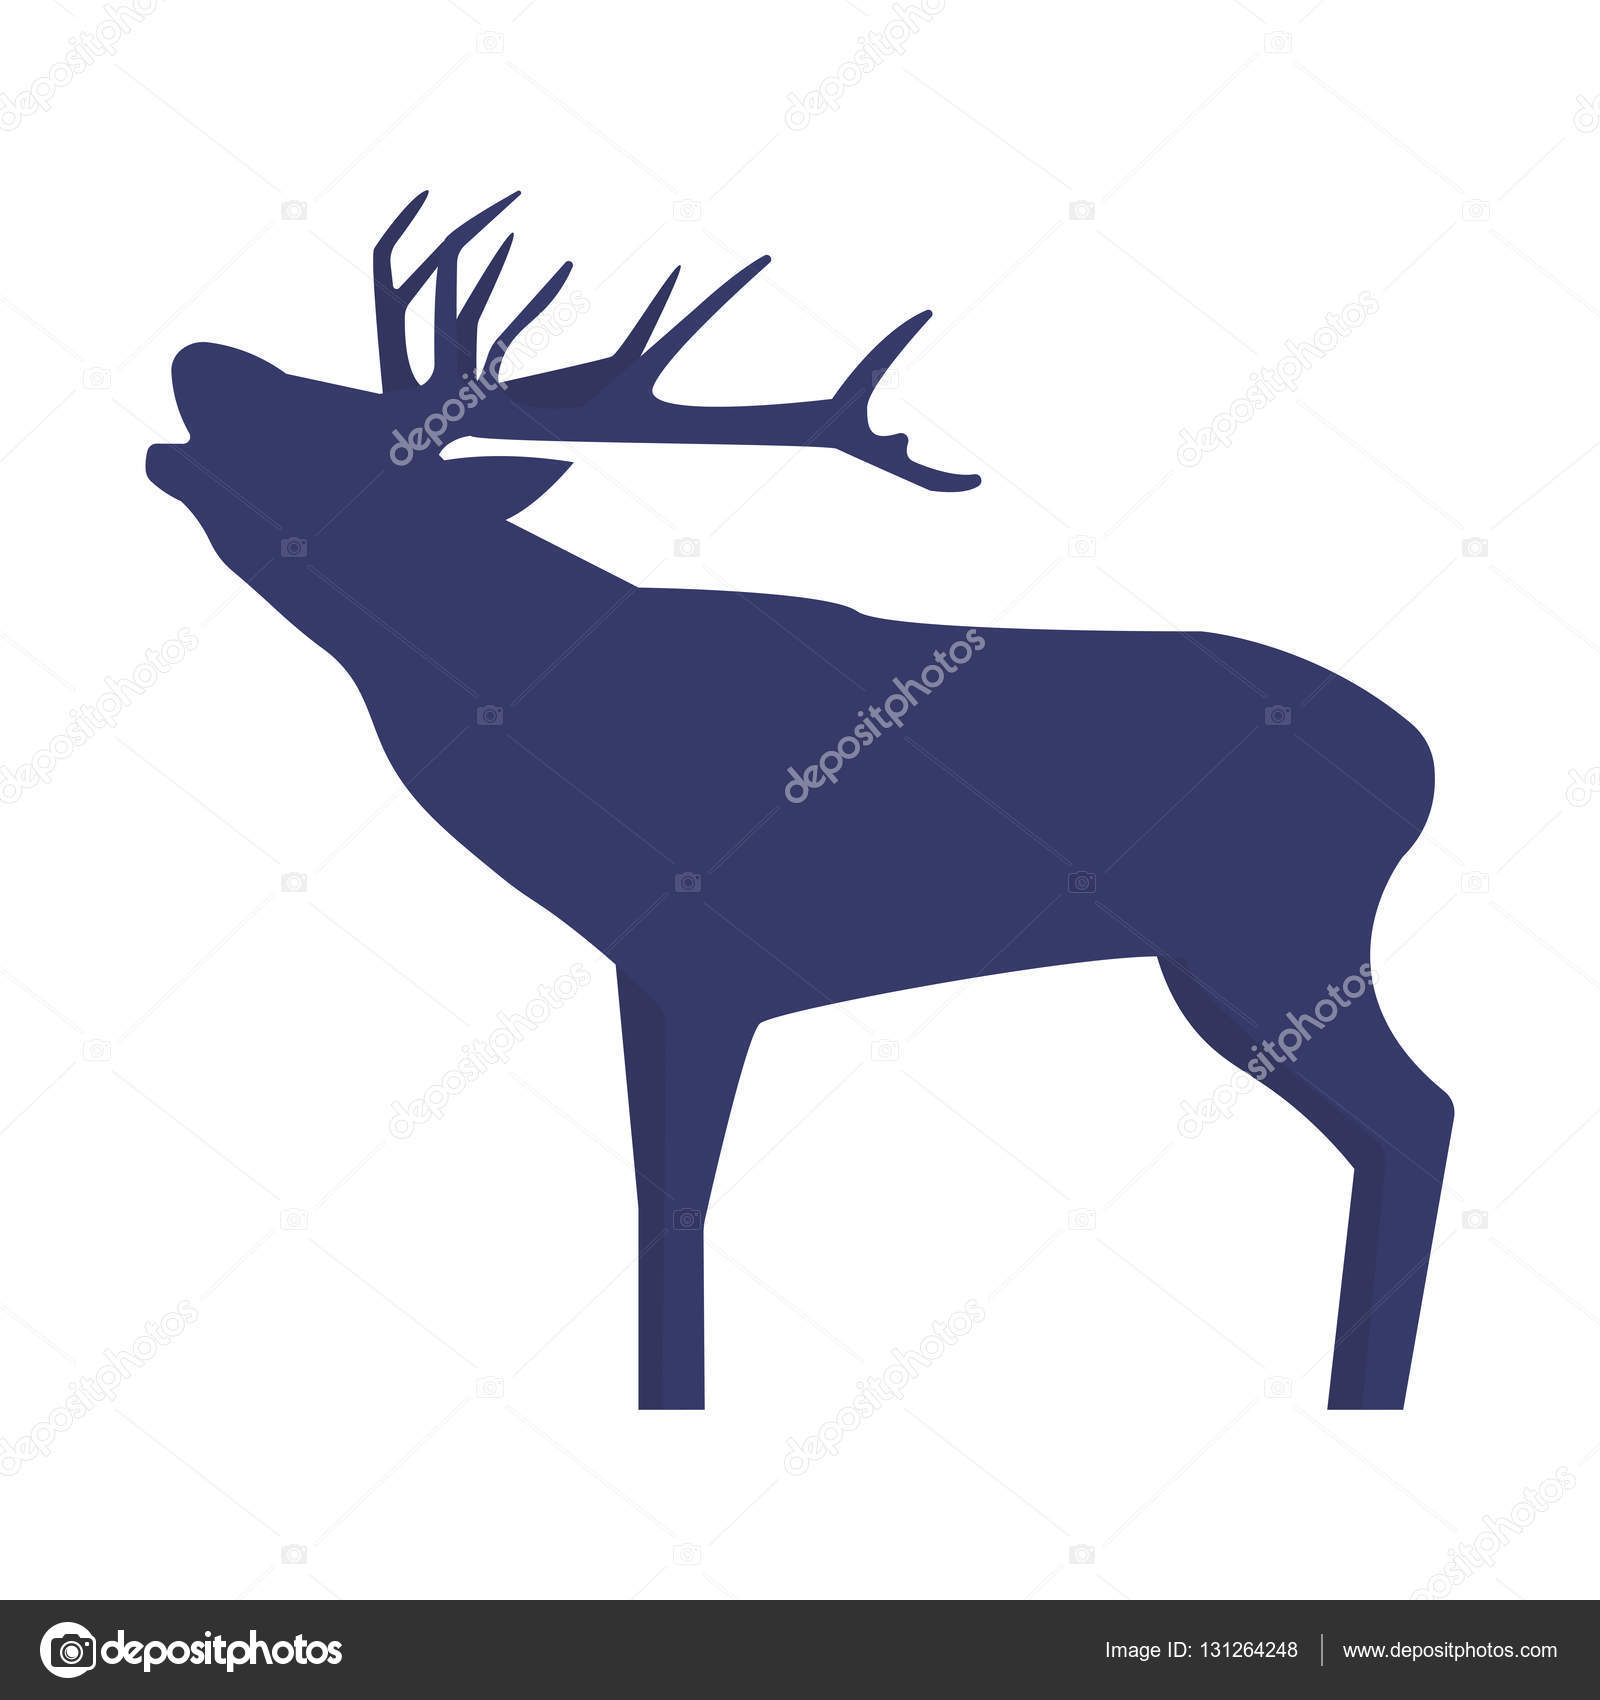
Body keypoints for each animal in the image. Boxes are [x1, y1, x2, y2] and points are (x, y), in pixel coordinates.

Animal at [146, 192, 1452, 1412]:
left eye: (355, 442)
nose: (202, 355)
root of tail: (1425, 766)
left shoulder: (705, 960)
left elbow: (676, 1202)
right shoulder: (651, 967)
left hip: (1273, 937)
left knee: (1422, 1111)